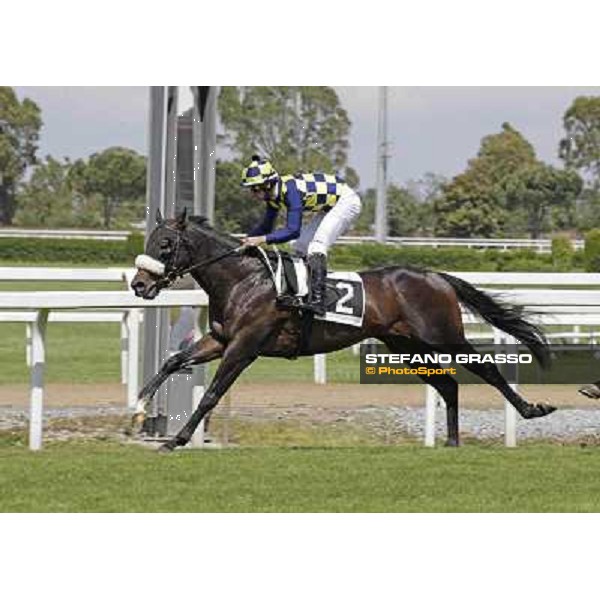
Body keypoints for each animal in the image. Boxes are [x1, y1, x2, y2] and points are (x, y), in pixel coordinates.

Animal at [129, 211, 556, 450]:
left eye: (165, 243)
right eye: (149, 240)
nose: (138, 285)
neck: (244, 279)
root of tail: (436, 276)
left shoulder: (244, 346)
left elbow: (211, 394)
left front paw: (176, 440)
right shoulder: (220, 339)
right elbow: (173, 361)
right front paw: (138, 408)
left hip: (442, 336)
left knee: (486, 368)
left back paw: (533, 409)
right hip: (405, 345)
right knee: (448, 384)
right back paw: (451, 442)